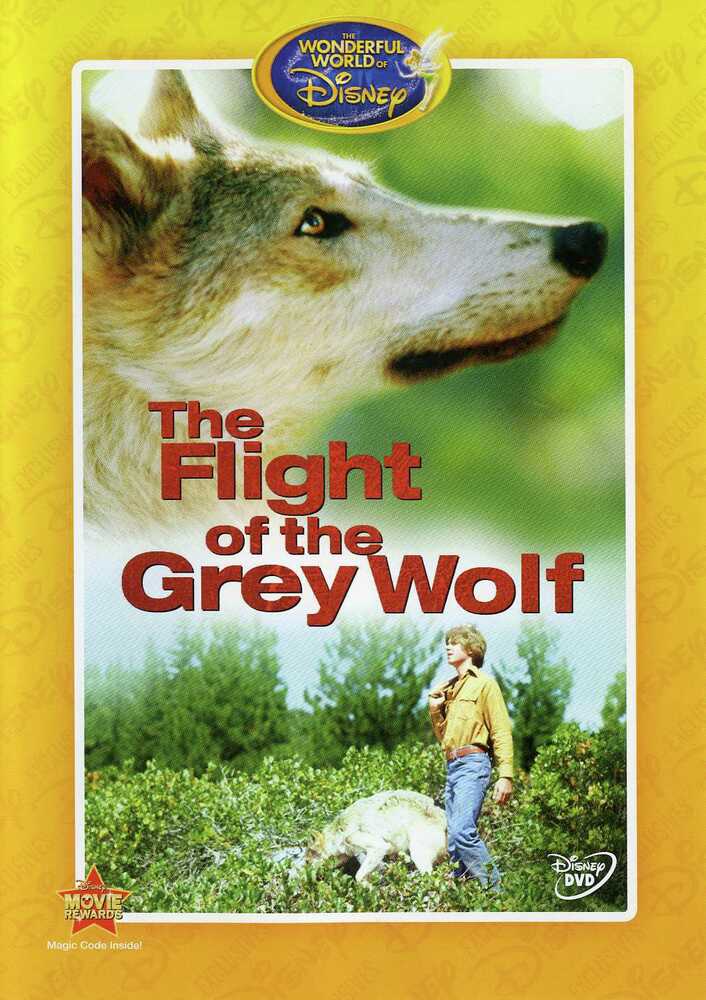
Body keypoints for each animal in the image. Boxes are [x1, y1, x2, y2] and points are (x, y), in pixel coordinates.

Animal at [306, 789, 447, 882]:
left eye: (307, 862)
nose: (306, 878)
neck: (337, 835)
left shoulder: (371, 844)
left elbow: (358, 876)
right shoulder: (361, 854)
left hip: (417, 852)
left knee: (429, 875)